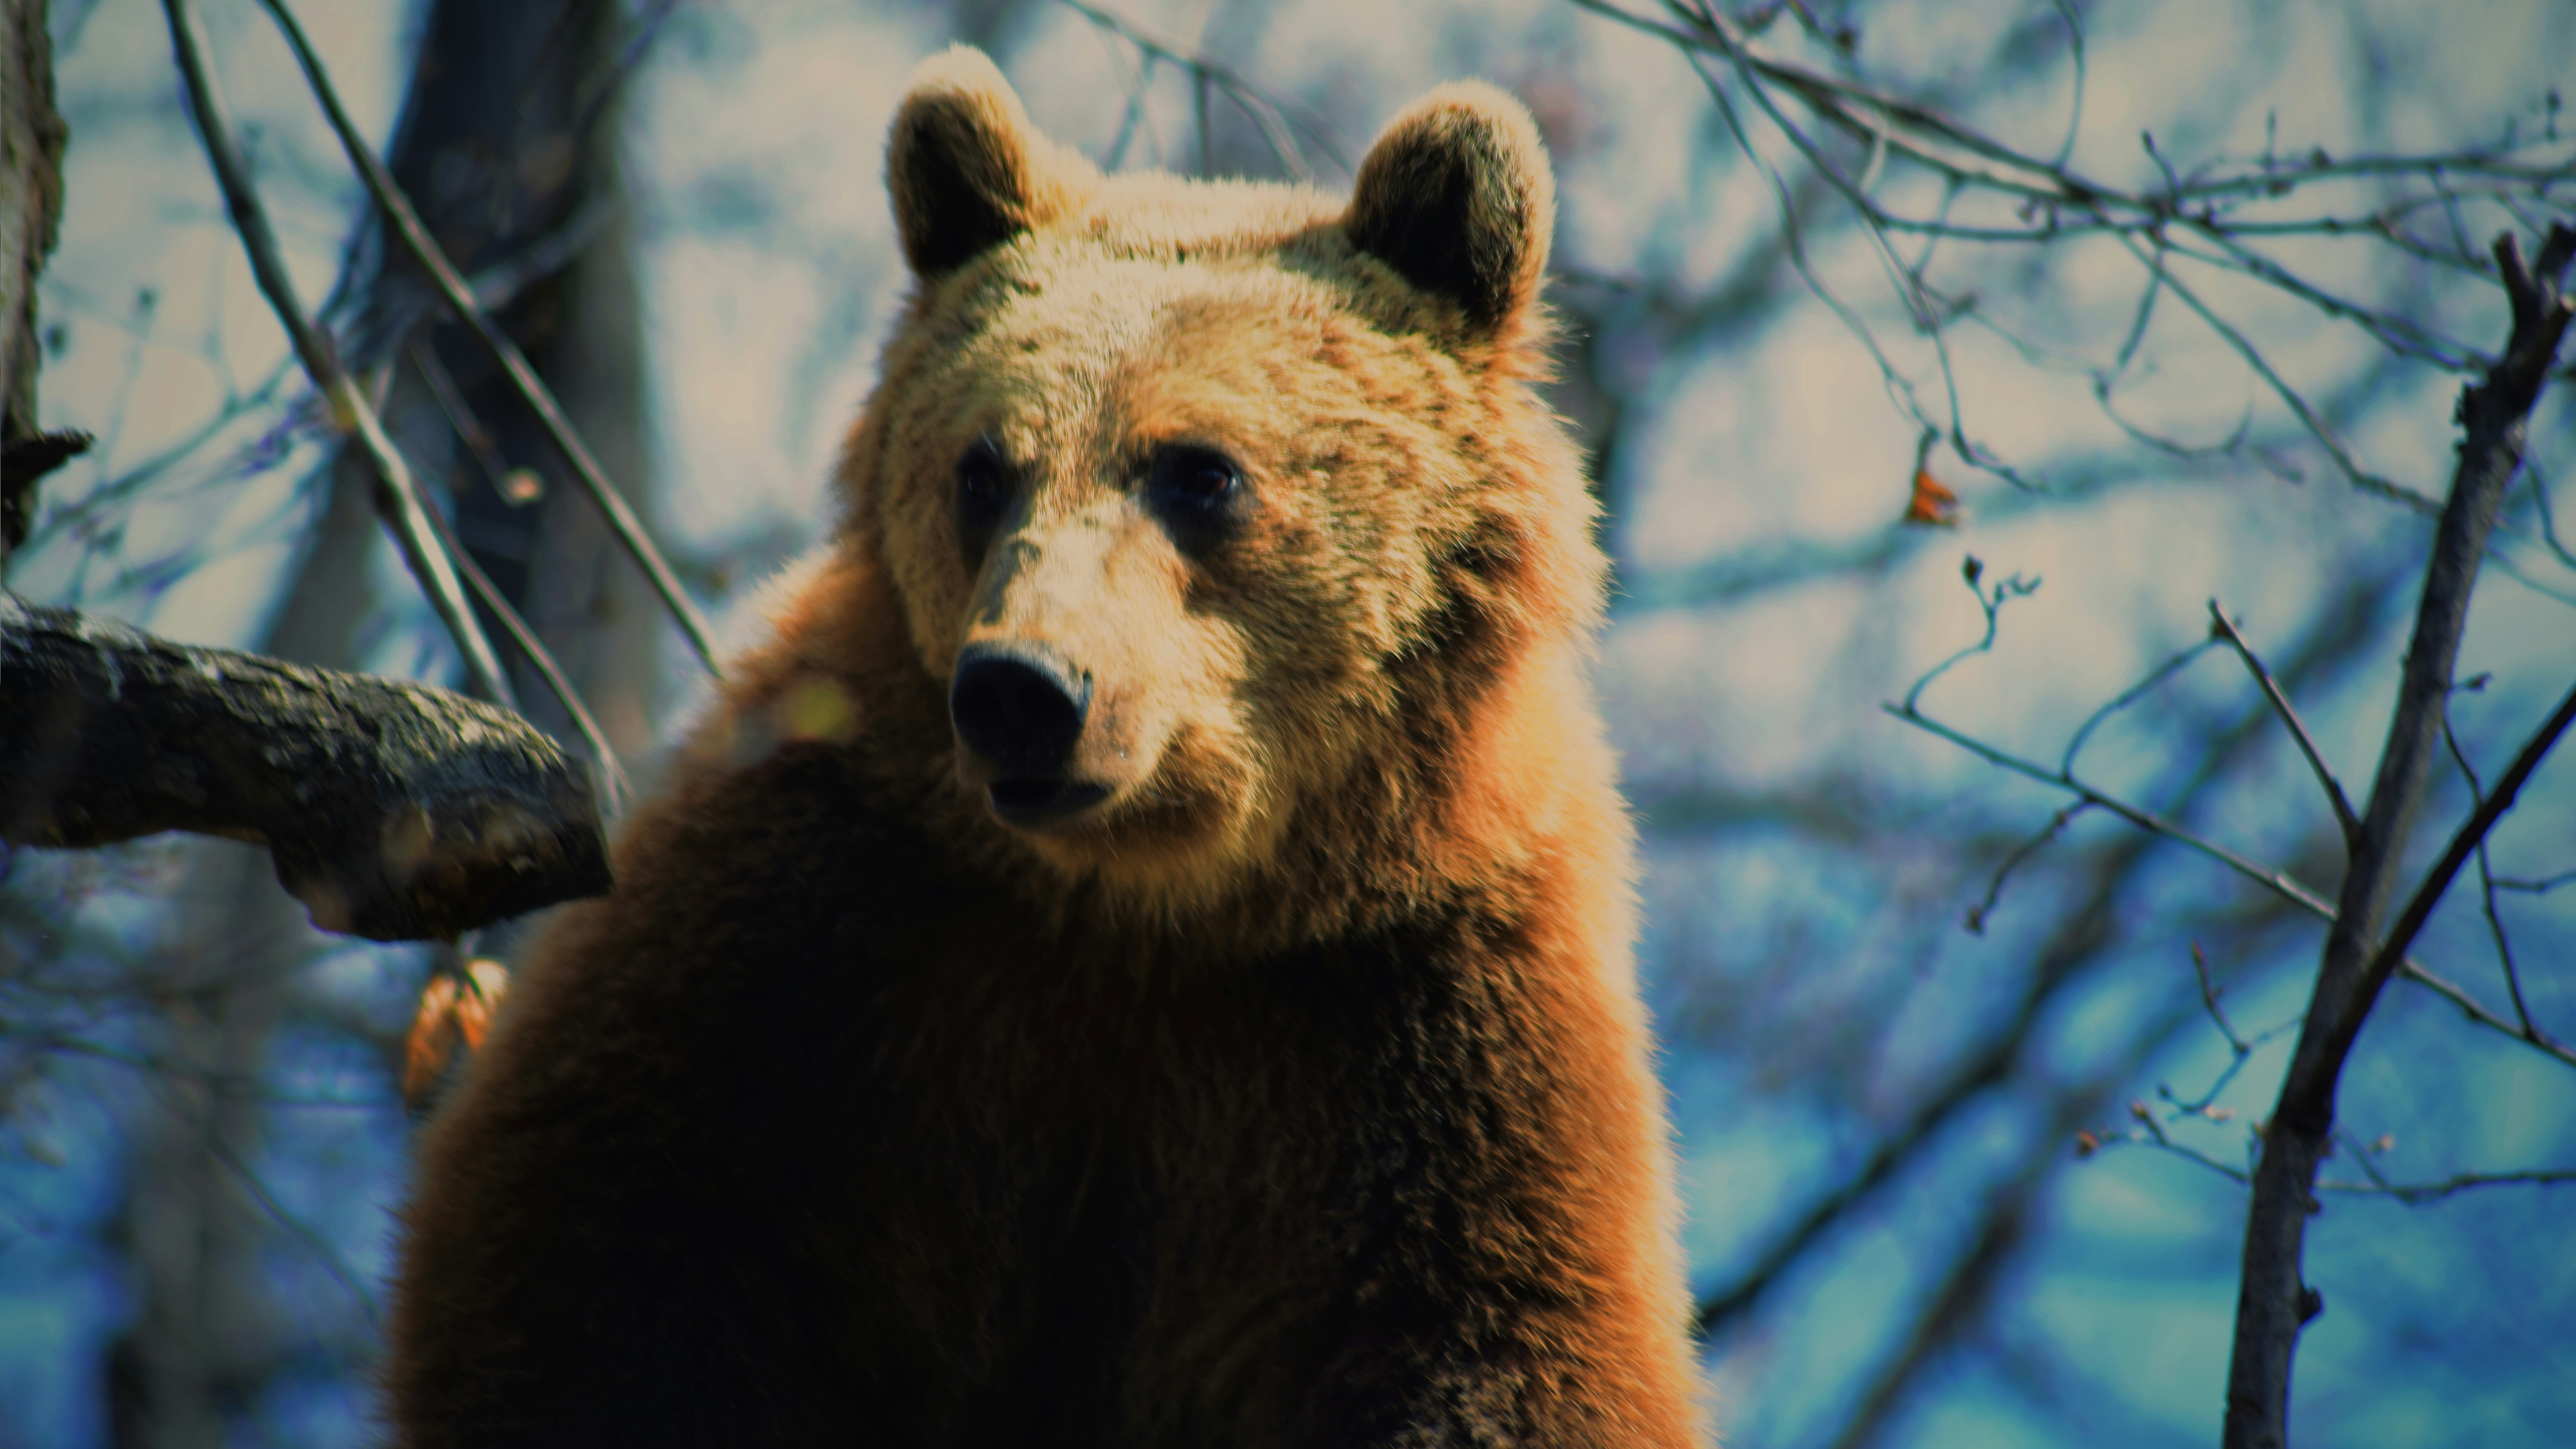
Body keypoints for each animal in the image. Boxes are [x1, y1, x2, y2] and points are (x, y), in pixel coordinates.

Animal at [384, 46, 1703, 1448]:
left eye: (1198, 471)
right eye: (981, 468)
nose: (1024, 690)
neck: (1148, 900)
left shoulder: (1431, 1017)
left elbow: (1493, 1342)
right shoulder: (813, 932)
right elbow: (590, 1239)